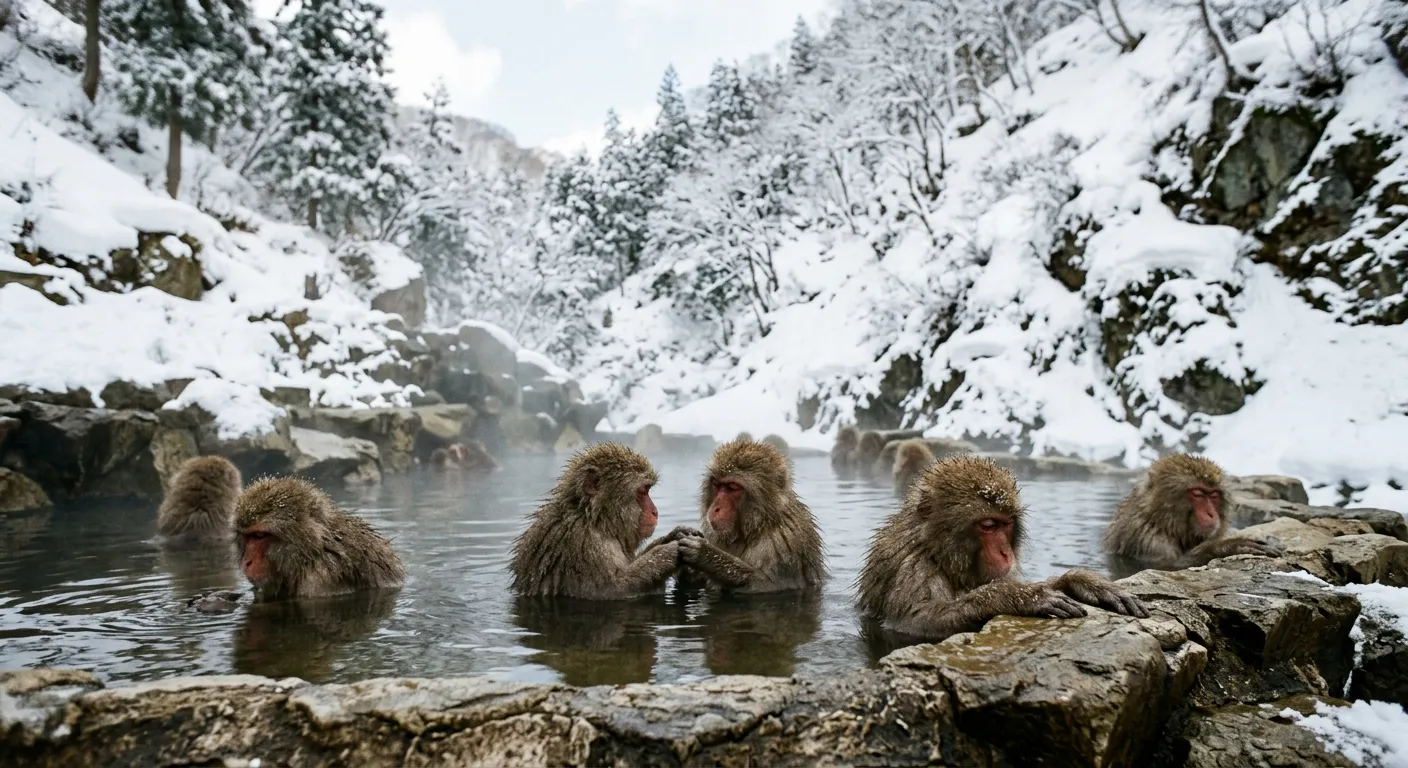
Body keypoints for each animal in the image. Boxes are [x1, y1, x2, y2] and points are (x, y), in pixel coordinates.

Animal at [510, 443, 688, 599]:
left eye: (648, 490)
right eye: (643, 491)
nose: (655, 512)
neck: (596, 520)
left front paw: (673, 536)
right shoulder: (584, 544)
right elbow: (608, 591)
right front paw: (666, 552)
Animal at [677, 438, 827, 593]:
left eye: (732, 487)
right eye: (716, 485)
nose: (715, 508)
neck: (760, 524)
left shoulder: (786, 543)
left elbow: (771, 586)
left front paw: (706, 555)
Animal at [857, 454, 1148, 640]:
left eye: (1005, 524)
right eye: (988, 525)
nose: (1005, 553)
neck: (937, 553)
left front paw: (1084, 582)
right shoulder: (912, 567)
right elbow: (914, 621)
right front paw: (1014, 597)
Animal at [1102, 453, 1286, 578]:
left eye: (1214, 495)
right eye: (1198, 494)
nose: (1211, 514)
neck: (1163, 521)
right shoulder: (1147, 538)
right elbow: (1166, 566)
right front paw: (1230, 546)